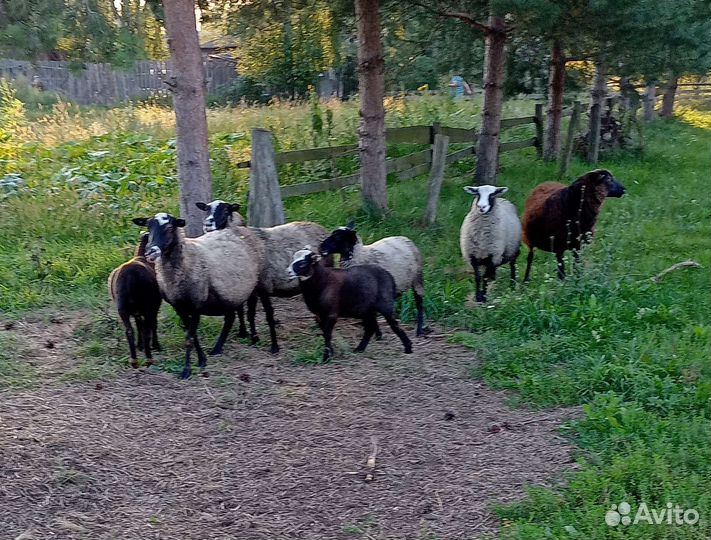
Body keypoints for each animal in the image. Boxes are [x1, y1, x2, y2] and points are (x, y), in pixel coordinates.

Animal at [108, 233, 162, 367]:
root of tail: (130, 277)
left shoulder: (137, 312)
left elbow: (138, 325)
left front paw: (139, 345)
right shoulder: (154, 306)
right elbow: (152, 325)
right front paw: (156, 346)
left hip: (122, 309)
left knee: (129, 331)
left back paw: (134, 360)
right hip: (148, 306)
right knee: (147, 330)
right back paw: (149, 358)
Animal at [132, 212, 276, 379]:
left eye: (170, 228)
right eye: (148, 226)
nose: (151, 251)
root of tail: (242, 228)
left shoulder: (196, 303)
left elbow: (189, 338)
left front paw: (186, 370)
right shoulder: (178, 306)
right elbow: (192, 335)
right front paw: (202, 360)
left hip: (260, 281)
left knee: (262, 311)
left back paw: (269, 344)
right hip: (231, 291)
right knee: (233, 317)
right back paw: (222, 347)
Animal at [195, 200, 330, 352]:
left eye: (225, 211)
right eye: (206, 209)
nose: (208, 224)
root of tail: (321, 228)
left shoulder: (263, 286)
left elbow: (267, 315)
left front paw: (274, 346)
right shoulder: (247, 287)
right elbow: (247, 312)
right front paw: (249, 336)